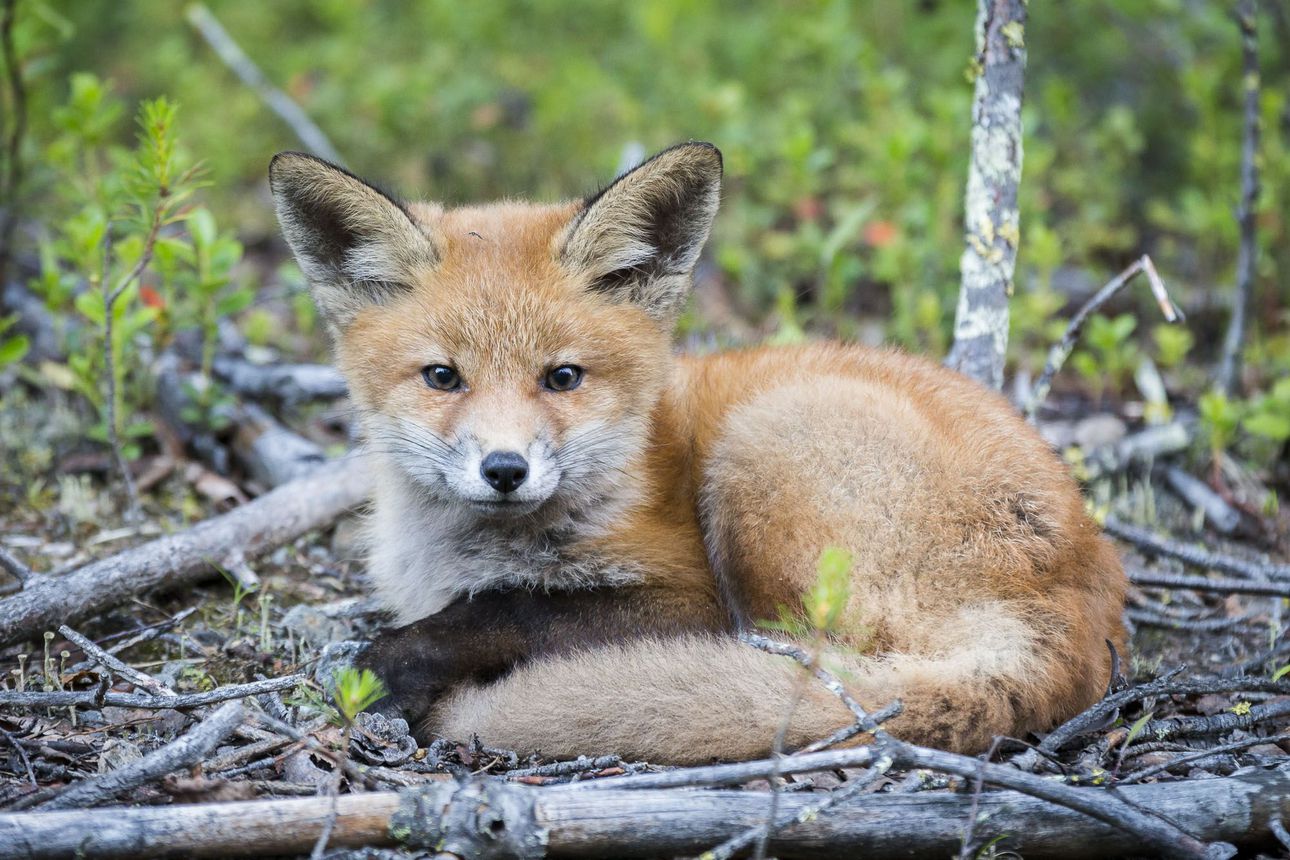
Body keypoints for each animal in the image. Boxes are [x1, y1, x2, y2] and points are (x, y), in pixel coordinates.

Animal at [272, 143, 1130, 768]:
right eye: (443, 377)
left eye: (563, 377)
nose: (506, 471)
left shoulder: (686, 597)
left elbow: (517, 606)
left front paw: (397, 665)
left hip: (765, 452)